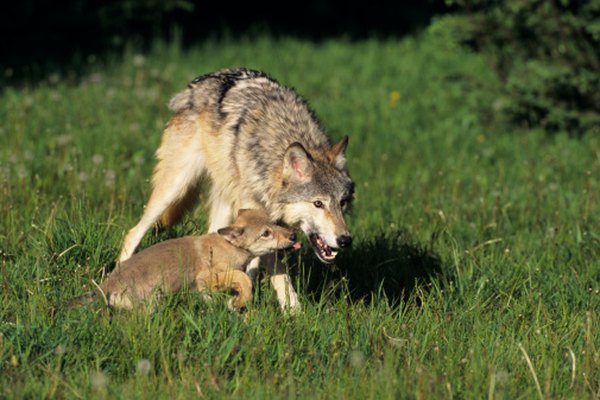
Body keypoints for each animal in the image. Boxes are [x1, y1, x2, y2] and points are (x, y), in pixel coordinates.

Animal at [119, 69, 354, 310]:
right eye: (318, 203)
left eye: (342, 202)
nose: (345, 240)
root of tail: (195, 85)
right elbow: (279, 275)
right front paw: (294, 312)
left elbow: (253, 266)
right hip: (174, 189)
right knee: (133, 233)